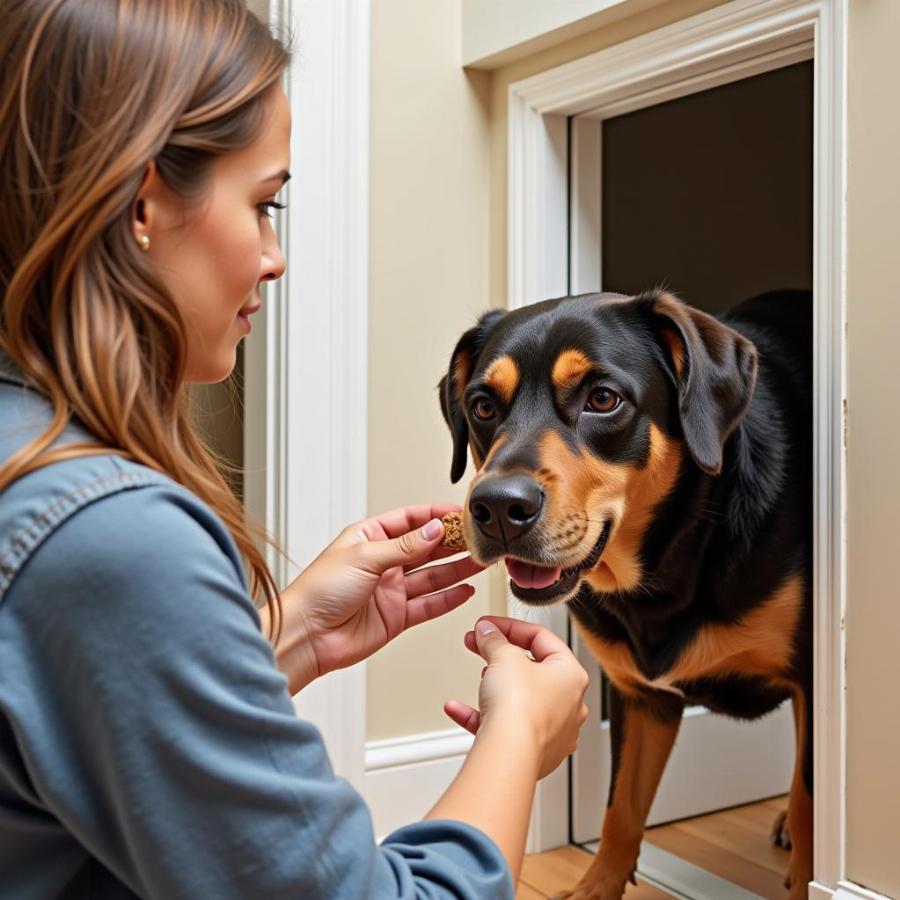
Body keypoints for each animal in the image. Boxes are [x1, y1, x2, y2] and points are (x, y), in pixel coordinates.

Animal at [440, 292, 812, 896]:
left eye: (603, 399)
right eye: (483, 406)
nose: (496, 506)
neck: (673, 561)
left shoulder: (812, 685)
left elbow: (808, 806)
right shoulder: (641, 698)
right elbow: (622, 811)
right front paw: (596, 886)